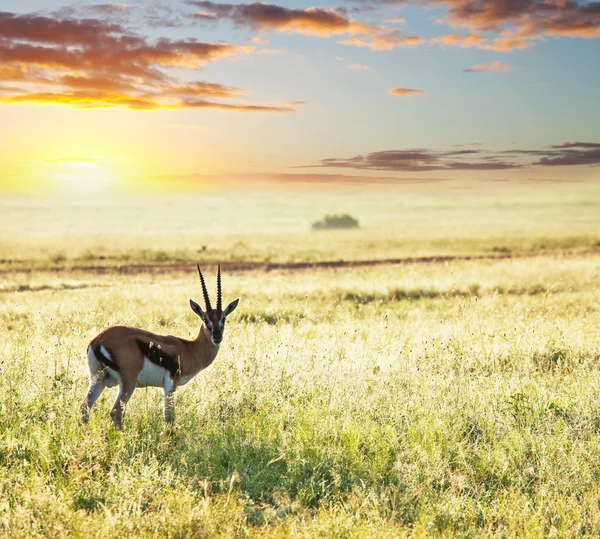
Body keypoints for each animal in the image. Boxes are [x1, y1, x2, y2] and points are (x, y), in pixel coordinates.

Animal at [81, 266, 239, 430]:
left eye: (223, 318)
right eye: (205, 319)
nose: (217, 336)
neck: (189, 348)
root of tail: (97, 340)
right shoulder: (170, 385)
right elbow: (169, 418)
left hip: (98, 380)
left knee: (85, 407)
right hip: (128, 383)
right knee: (115, 412)